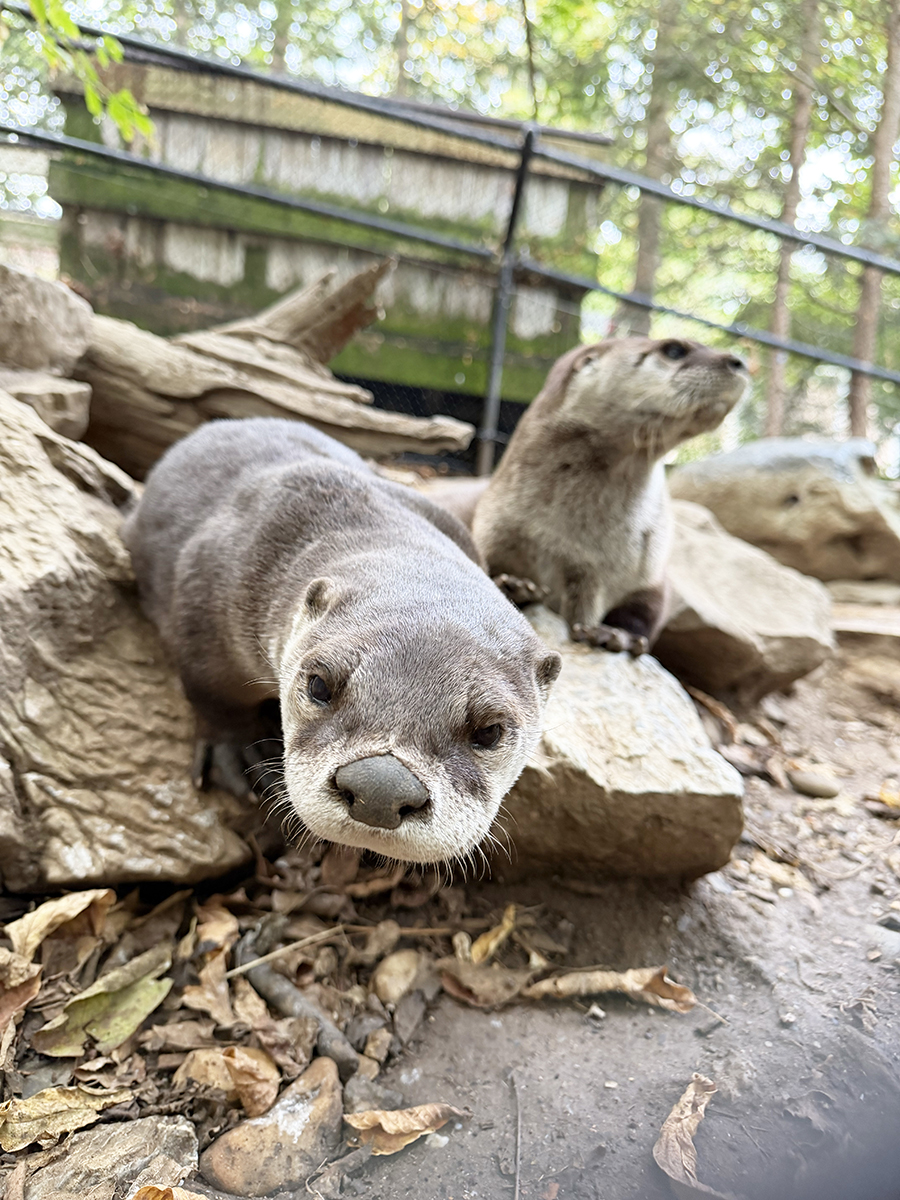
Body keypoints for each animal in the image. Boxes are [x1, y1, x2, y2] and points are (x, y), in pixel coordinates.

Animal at [122, 418, 561, 865]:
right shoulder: (207, 583)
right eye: (319, 685)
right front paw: (235, 752)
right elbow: (210, 685)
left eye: (489, 731)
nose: (380, 791)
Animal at [467, 336, 749, 654]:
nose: (739, 361)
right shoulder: (493, 532)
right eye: (674, 350)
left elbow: (639, 612)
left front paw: (613, 633)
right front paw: (514, 584)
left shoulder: (641, 573)